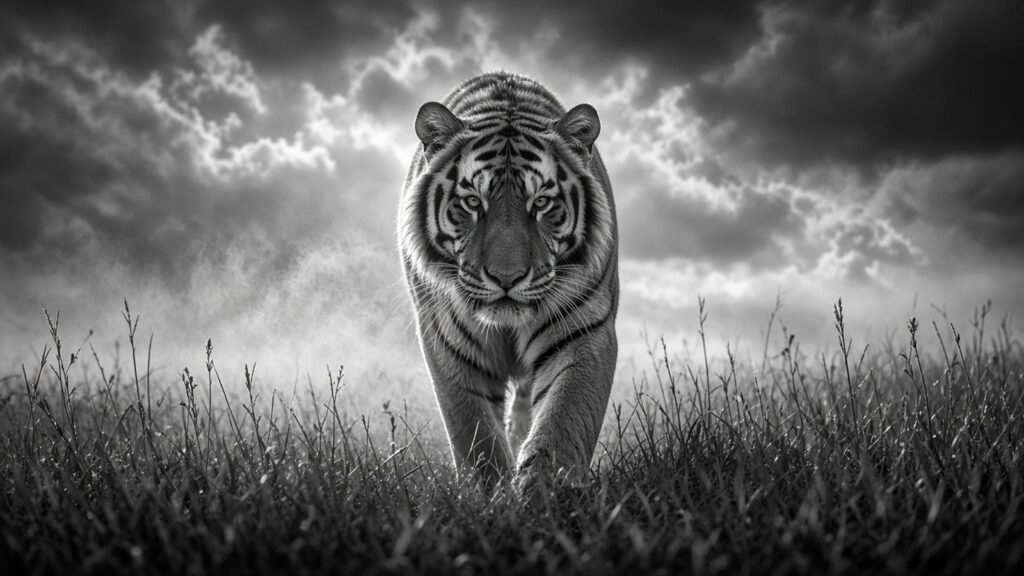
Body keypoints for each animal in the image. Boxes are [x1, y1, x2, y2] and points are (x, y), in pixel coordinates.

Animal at [397, 71, 618, 494]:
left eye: (542, 203)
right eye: (472, 202)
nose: (506, 277)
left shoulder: (584, 331)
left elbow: (564, 418)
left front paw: (546, 492)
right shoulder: (447, 341)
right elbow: (473, 430)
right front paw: (491, 495)